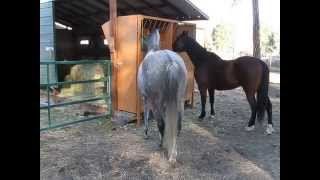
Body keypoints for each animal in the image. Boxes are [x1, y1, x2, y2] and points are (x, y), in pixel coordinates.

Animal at [138, 28, 188, 162]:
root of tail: (171, 62)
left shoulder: (145, 98)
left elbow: (146, 114)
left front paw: (145, 133)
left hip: (156, 102)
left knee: (161, 123)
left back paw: (161, 145)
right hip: (179, 99)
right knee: (178, 122)